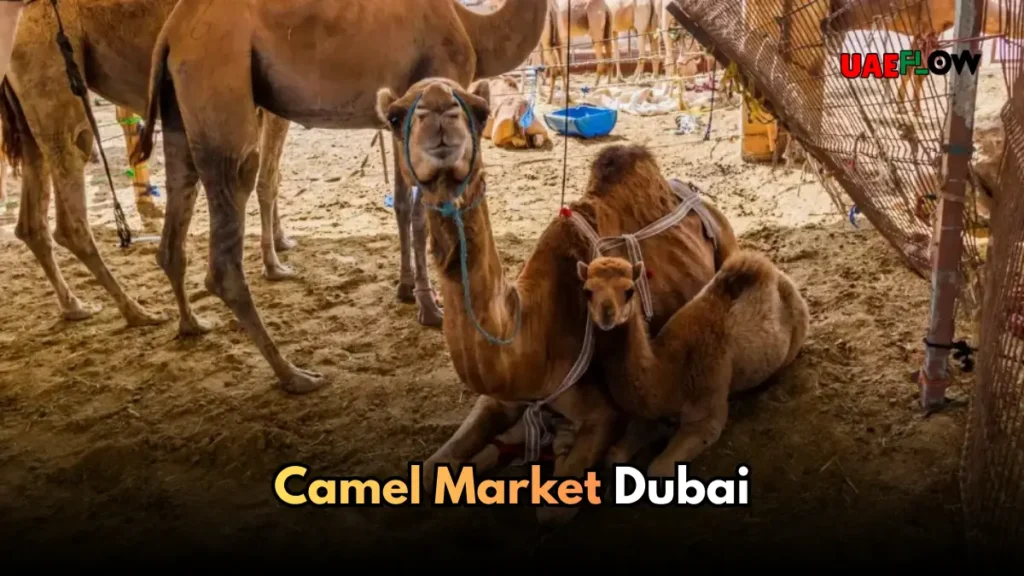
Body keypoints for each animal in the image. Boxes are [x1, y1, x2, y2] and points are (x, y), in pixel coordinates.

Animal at [0, 0, 296, 328]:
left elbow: (273, 178)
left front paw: (281, 241)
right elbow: (267, 181)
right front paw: (274, 265)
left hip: (26, 114)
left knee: (31, 220)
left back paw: (76, 306)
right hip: (52, 73)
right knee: (71, 202)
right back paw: (140, 312)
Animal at [132, 0, 549, 394]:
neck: (472, 25)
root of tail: (171, 33)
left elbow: (401, 205)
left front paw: (405, 291)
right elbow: (418, 213)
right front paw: (430, 308)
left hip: (178, 110)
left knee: (178, 204)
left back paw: (192, 324)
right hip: (219, 76)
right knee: (229, 224)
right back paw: (295, 375)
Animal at [376, 76, 738, 523]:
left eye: (480, 111)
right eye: (394, 118)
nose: (440, 110)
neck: (531, 332)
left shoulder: (599, 412)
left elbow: (552, 509)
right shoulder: (500, 397)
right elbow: (431, 467)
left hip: (726, 237)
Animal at [578, 251, 809, 477]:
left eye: (629, 291)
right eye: (587, 291)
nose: (607, 315)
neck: (669, 372)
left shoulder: (706, 407)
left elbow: (658, 468)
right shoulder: (650, 413)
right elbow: (613, 455)